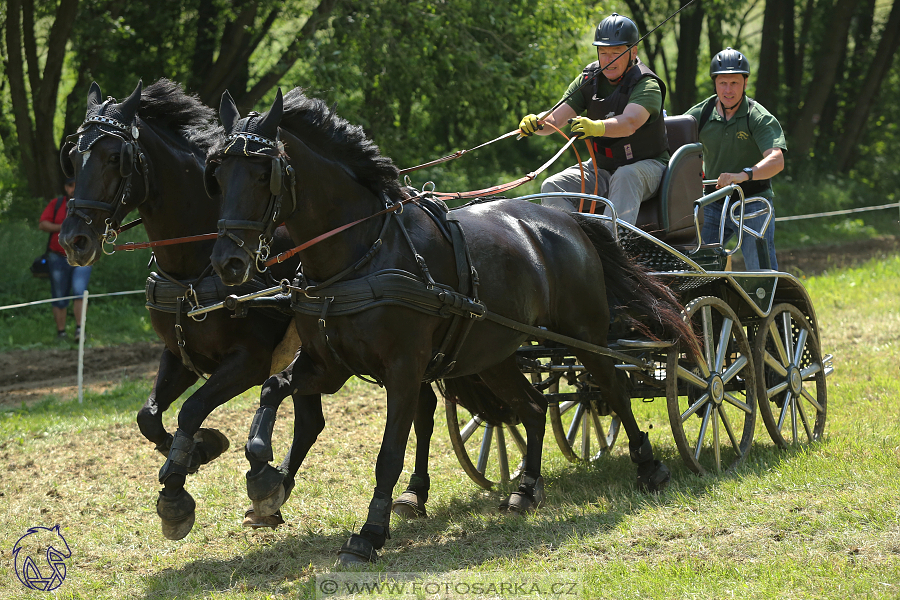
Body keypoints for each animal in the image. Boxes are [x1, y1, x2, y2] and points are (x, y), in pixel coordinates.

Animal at [60, 78, 306, 540]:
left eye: (115, 157)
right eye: (72, 157)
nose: (73, 240)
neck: (196, 262)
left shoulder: (249, 360)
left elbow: (191, 409)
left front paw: (175, 492)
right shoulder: (179, 356)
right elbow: (148, 416)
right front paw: (197, 451)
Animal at [206, 88, 696, 564]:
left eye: (263, 174)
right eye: (218, 172)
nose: (227, 262)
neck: (363, 252)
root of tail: (569, 218)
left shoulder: (403, 370)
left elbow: (390, 453)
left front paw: (369, 535)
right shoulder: (328, 365)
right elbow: (272, 388)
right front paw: (264, 480)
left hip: (584, 335)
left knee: (611, 388)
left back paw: (649, 466)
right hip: (495, 352)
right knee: (534, 406)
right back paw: (525, 489)